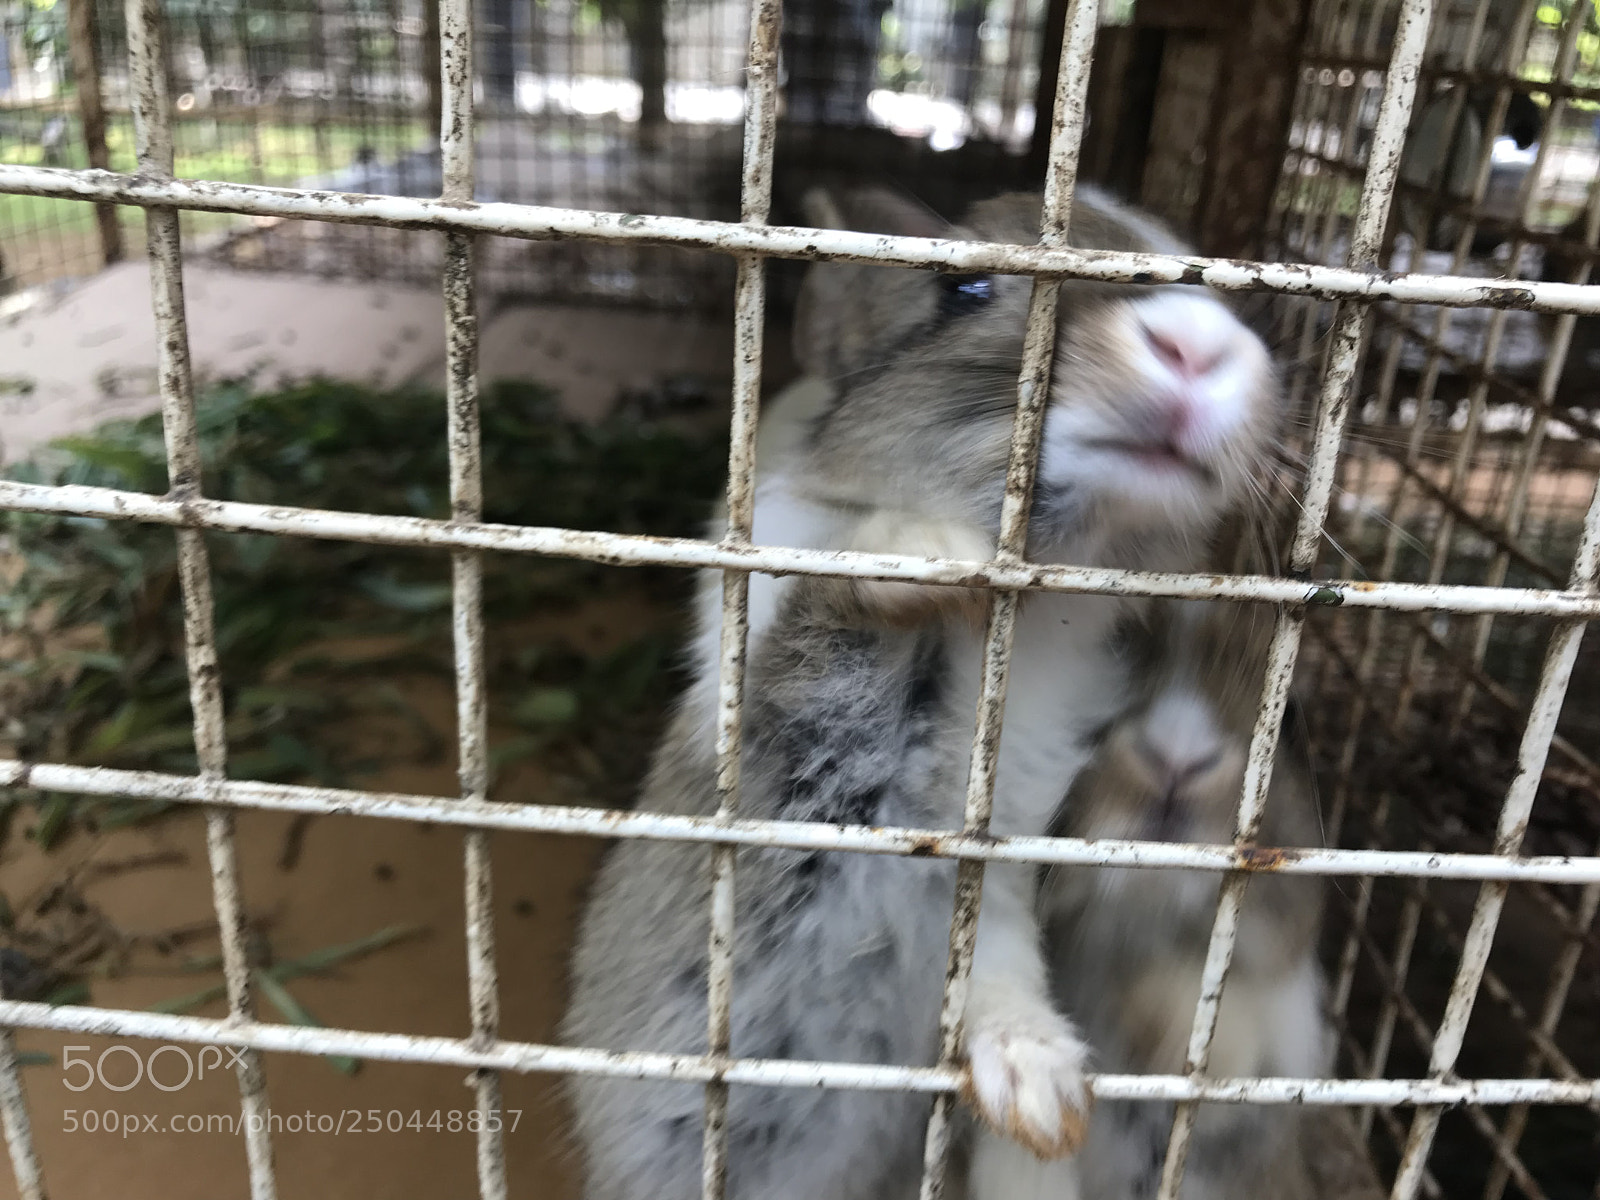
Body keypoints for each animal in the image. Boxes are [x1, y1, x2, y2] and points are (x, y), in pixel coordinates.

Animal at [560, 184, 1285, 1200]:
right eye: (963, 288)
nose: (1199, 345)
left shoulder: (1004, 842)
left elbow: (993, 955)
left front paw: (1039, 1093)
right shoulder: (769, 748)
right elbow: (820, 629)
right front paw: (932, 550)